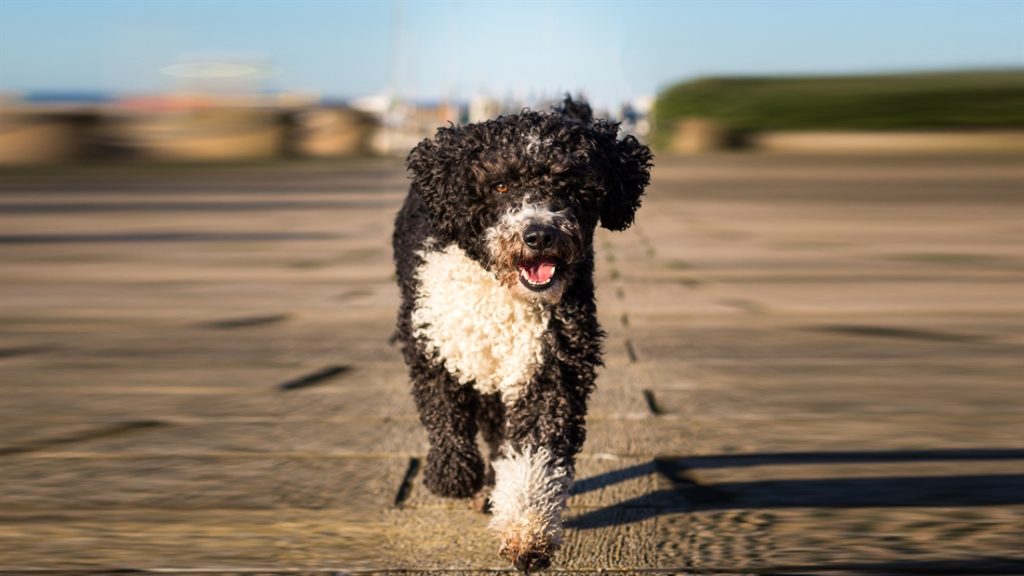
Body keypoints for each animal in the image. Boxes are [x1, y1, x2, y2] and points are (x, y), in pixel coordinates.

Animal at [389, 98, 647, 569]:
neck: (500, 289)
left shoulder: (551, 366)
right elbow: (444, 413)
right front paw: (452, 475)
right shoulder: (430, 338)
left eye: (570, 185)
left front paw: (527, 532)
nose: (539, 234)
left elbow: (535, 454)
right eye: (501, 185)